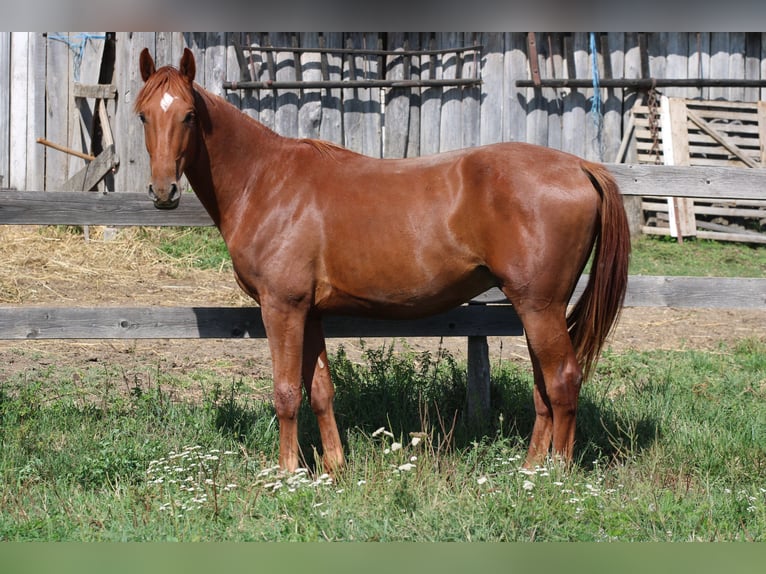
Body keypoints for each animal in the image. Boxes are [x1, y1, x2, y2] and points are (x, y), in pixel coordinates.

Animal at [136, 48, 632, 472]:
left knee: (563, 381)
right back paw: (529, 471)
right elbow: (321, 391)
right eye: (144, 114)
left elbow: (286, 393)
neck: (266, 181)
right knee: (544, 389)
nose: (163, 191)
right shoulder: (310, 312)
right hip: (535, 308)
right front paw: (334, 468)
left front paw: (288, 473)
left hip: (541, 306)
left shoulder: (282, 307)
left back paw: (556, 476)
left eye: (189, 115)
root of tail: (581, 167)